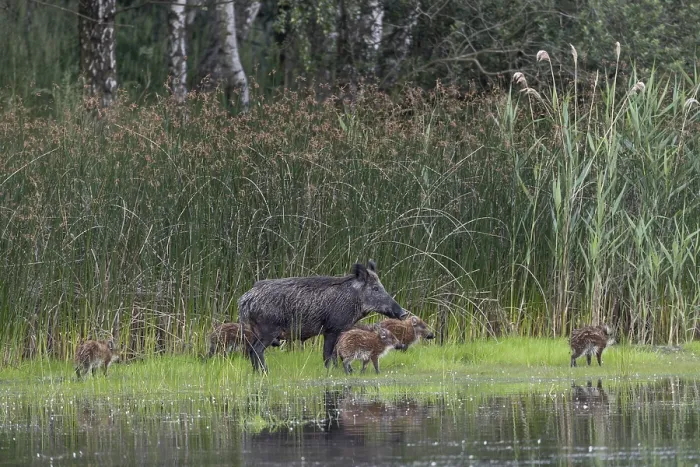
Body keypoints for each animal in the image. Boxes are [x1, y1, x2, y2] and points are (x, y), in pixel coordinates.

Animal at [238, 260, 407, 372]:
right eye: (375, 288)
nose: (404, 313)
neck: (353, 299)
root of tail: (246, 299)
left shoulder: (340, 331)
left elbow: (336, 354)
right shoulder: (332, 329)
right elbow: (328, 354)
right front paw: (330, 372)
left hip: (257, 331)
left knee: (251, 350)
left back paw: (257, 372)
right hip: (268, 330)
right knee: (256, 350)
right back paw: (265, 372)